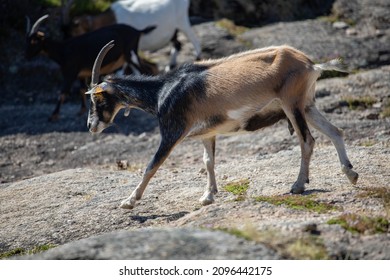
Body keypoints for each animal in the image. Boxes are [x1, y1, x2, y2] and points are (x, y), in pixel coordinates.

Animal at [24, 14, 155, 121]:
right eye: (27, 41)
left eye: (34, 41)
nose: (27, 56)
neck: (63, 50)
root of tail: (137, 31)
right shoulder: (81, 74)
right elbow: (82, 90)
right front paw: (81, 111)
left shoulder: (70, 72)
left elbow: (62, 93)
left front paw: (53, 115)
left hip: (131, 53)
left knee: (145, 70)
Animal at [87, 40, 358, 209]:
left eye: (97, 99)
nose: (91, 126)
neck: (163, 91)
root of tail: (311, 65)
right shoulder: (208, 133)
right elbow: (208, 162)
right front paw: (208, 196)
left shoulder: (172, 131)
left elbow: (151, 166)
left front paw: (129, 202)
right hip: (307, 105)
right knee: (335, 131)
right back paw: (351, 174)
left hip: (291, 104)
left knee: (307, 140)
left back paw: (298, 185)